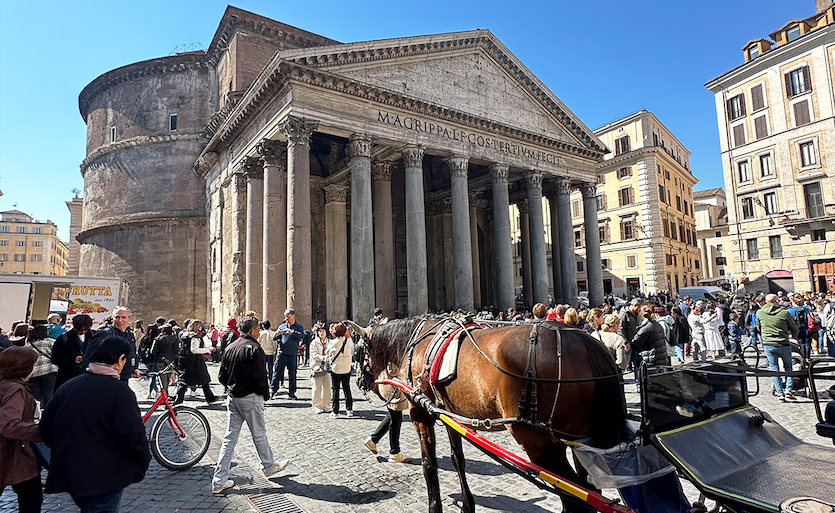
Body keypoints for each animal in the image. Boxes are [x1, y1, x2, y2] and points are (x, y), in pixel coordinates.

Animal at [356, 312, 632, 512]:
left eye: (359, 352)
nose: (360, 381)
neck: (416, 340)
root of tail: (586, 343)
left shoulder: (420, 412)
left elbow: (429, 465)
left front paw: (435, 507)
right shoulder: (448, 413)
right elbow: (458, 459)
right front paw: (467, 505)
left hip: (539, 442)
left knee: (577, 498)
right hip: (581, 439)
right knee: (590, 490)